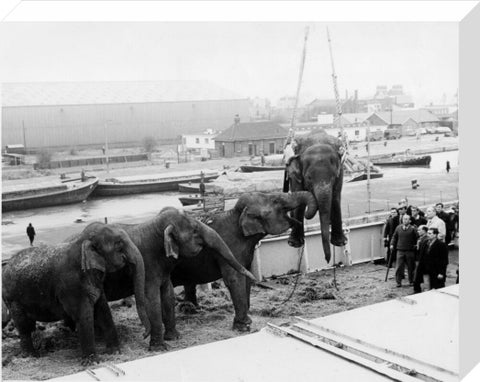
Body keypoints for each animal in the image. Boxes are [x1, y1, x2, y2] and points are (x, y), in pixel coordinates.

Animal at [1, 222, 149, 366]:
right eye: (119, 243)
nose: (144, 335)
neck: (81, 242)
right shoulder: (71, 286)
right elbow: (83, 316)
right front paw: (91, 362)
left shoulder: (95, 283)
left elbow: (103, 310)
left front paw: (114, 352)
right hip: (13, 299)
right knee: (24, 326)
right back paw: (32, 356)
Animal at [99, 207, 256, 350]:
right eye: (194, 230)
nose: (254, 276)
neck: (155, 226)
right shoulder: (146, 265)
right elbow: (151, 298)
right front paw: (159, 348)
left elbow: (168, 293)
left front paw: (174, 338)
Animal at [171, 191, 316, 332]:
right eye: (276, 201)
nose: (304, 218)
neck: (237, 214)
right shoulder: (229, 246)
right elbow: (235, 279)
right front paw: (244, 326)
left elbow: (246, 276)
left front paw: (247, 315)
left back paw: (189, 309)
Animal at [284, 130, 346, 264]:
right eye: (309, 178)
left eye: (333, 177)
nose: (327, 260)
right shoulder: (296, 174)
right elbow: (300, 198)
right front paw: (294, 244)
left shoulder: (341, 172)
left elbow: (335, 198)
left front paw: (340, 243)